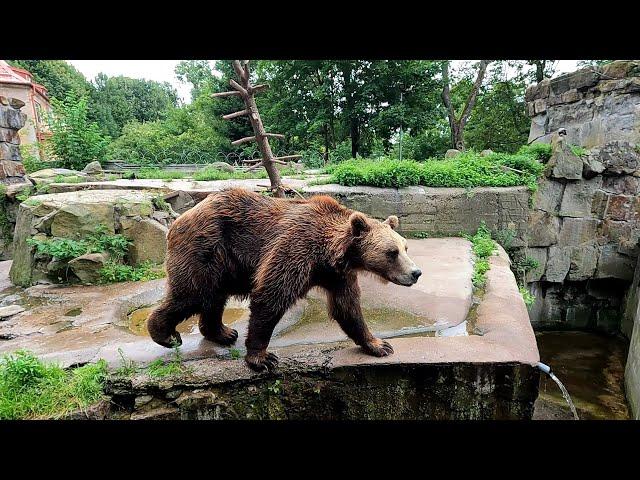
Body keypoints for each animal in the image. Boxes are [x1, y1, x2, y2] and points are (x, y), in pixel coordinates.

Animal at [148, 188, 422, 372]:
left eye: (405, 247)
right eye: (391, 252)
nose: (416, 273)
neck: (329, 255)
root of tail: (180, 218)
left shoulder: (337, 275)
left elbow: (348, 308)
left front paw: (379, 345)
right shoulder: (296, 249)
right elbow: (271, 296)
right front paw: (262, 358)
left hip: (224, 264)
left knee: (213, 297)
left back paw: (223, 332)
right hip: (207, 247)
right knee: (191, 293)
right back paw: (166, 334)